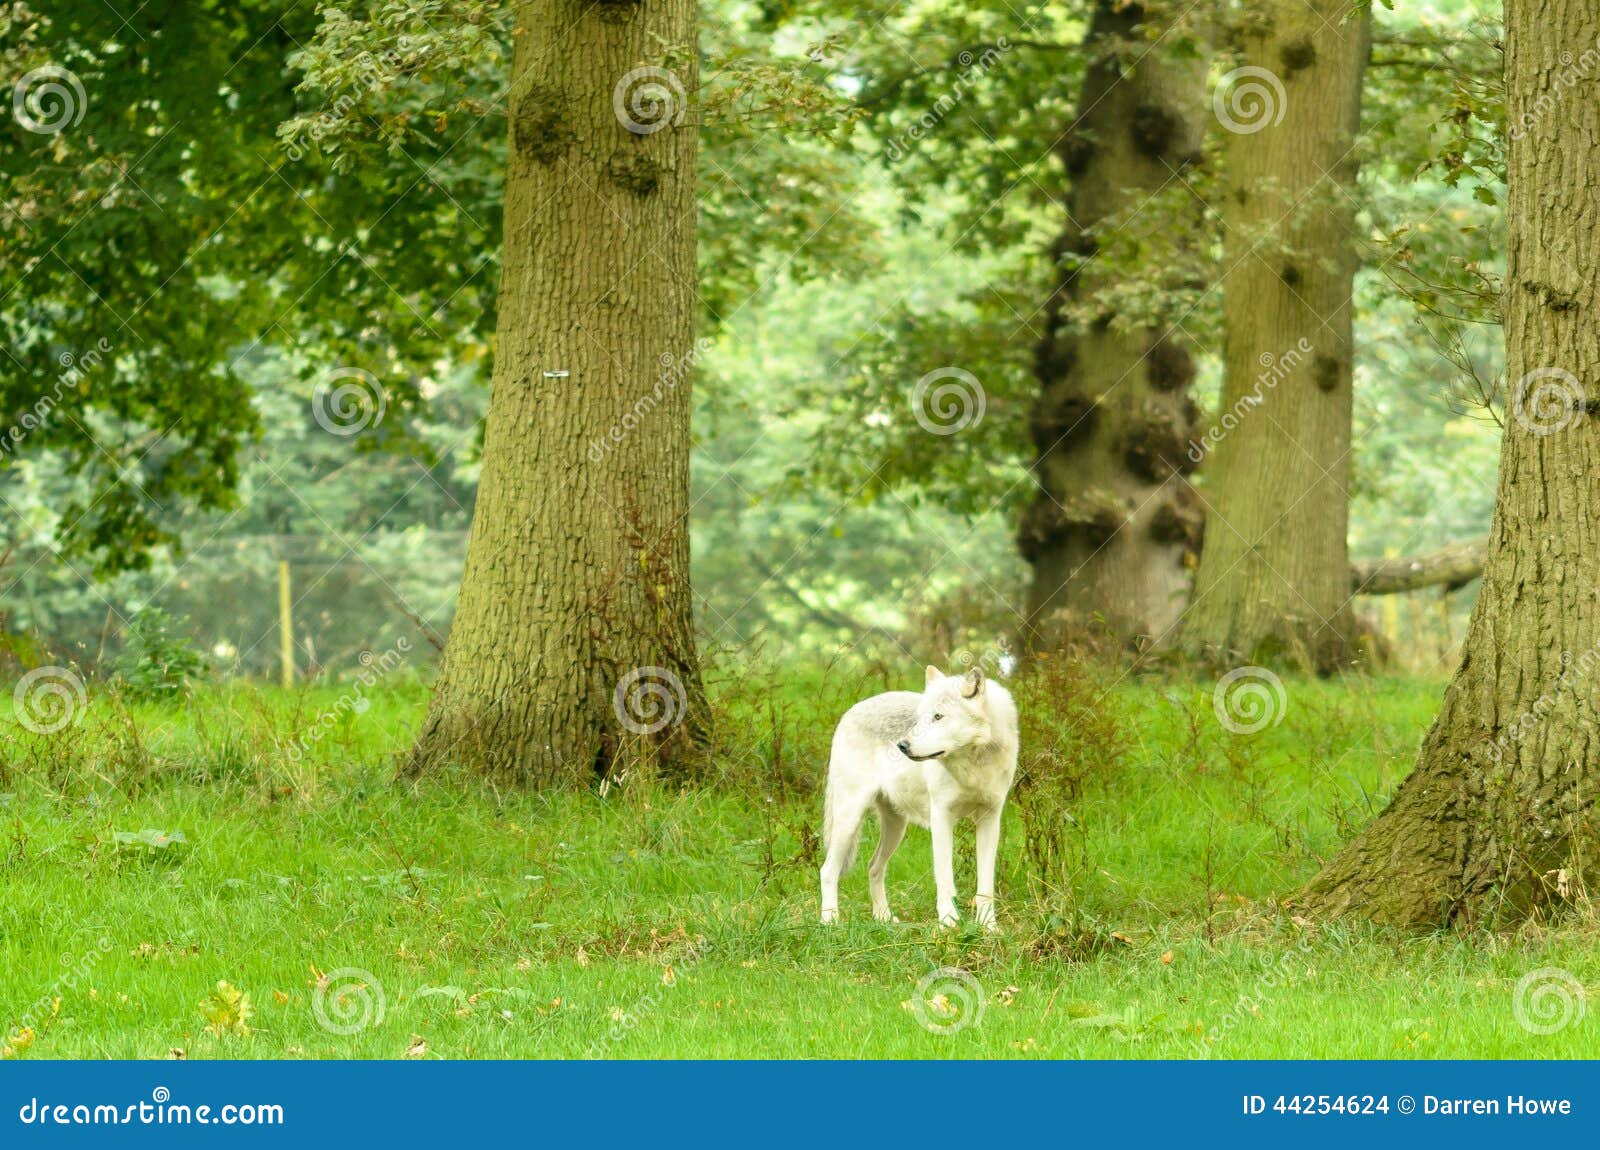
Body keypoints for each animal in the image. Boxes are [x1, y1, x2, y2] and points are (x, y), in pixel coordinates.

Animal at [818, 665, 1018, 928]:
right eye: (921, 718)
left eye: (938, 717)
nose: (902, 746)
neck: (973, 767)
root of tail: (850, 711)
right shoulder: (941, 817)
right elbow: (945, 879)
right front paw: (949, 924)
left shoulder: (990, 819)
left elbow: (985, 886)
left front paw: (988, 927)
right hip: (849, 819)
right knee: (828, 871)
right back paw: (830, 921)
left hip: (896, 827)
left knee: (873, 867)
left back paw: (884, 918)